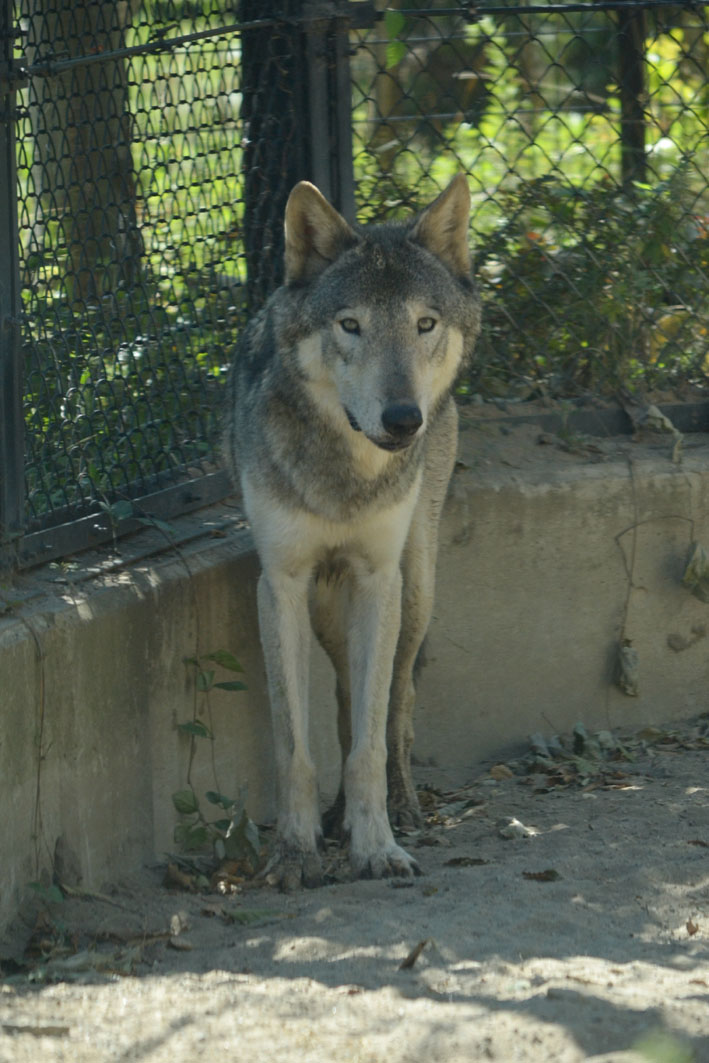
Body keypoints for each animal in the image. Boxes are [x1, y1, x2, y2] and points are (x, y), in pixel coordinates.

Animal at [223, 176, 482, 888]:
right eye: (350, 325)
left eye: (424, 324)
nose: (403, 419)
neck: (347, 475)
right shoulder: (282, 585)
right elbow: (295, 743)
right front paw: (295, 852)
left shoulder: (376, 578)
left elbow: (369, 736)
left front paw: (377, 845)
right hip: (326, 606)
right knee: (342, 698)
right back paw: (335, 818)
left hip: (414, 590)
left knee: (398, 700)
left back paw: (405, 805)